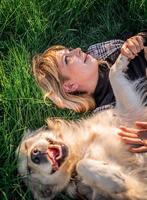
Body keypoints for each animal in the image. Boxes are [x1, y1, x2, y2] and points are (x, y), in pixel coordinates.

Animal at [16, 52, 147, 199]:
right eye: (29, 170)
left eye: (26, 146)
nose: (35, 155)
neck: (80, 150)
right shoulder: (135, 188)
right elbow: (81, 164)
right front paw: (112, 179)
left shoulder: (128, 112)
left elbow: (112, 74)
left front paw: (124, 57)